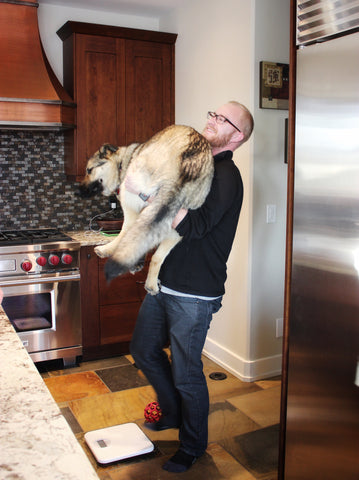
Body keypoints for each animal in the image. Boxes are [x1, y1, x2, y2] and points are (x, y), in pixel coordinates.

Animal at [80, 123, 215, 296]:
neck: (122, 163)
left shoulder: (132, 209)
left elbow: (124, 235)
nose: (78, 191)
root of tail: (188, 164)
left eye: (89, 170)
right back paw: (151, 284)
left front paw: (107, 250)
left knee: (129, 233)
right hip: (178, 224)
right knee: (156, 255)